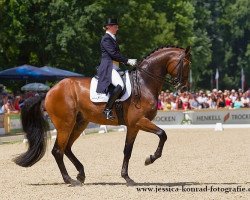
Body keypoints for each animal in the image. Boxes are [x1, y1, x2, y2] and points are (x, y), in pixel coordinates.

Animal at [13, 45, 190, 186]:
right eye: (187, 64)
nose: (184, 87)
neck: (144, 82)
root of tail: (49, 91)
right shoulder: (139, 121)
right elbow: (162, 134)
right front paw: (150, 159)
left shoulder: (133, 126)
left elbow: (128, 150)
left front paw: (127, 178)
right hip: (65, 124)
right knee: (58, 150)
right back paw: (70, 180)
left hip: (79, 123)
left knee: (67, 148)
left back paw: (81, 174)